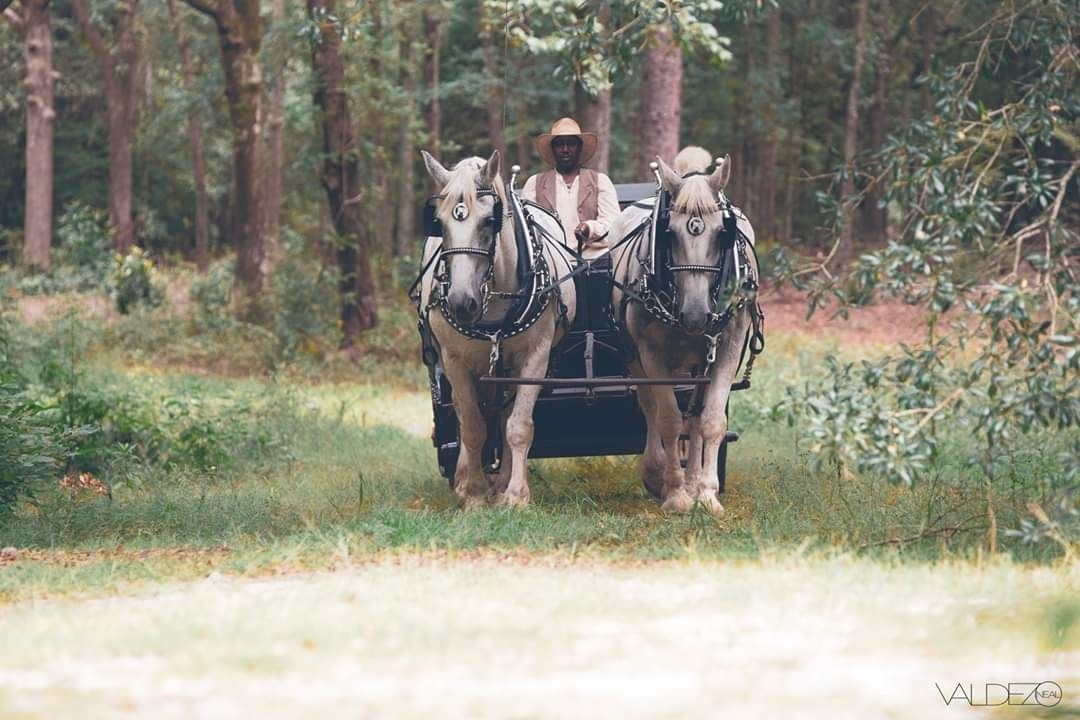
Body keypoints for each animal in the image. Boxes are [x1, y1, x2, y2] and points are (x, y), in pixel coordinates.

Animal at [417, 149, 577, 508]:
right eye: (440, 224)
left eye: (489, 221)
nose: (462, 302)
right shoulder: (455, 361)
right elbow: (472, 426)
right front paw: (474, 492)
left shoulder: (535, 357)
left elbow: (518, 425)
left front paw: (515, 494)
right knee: (464, 414)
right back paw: (466, 477)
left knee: (503, 419)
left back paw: (502, 481)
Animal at [609, 147, 762, 514]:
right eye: (669, 233)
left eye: (722, 233)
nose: (695, 315)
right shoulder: (651, 353)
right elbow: (667, 418)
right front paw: (676, 493)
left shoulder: (728, 346)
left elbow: (711, 421)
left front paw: (705, 493)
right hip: (635, 356)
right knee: (651, 409)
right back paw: (659, 475)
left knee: (694, 417)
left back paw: (693, 480)